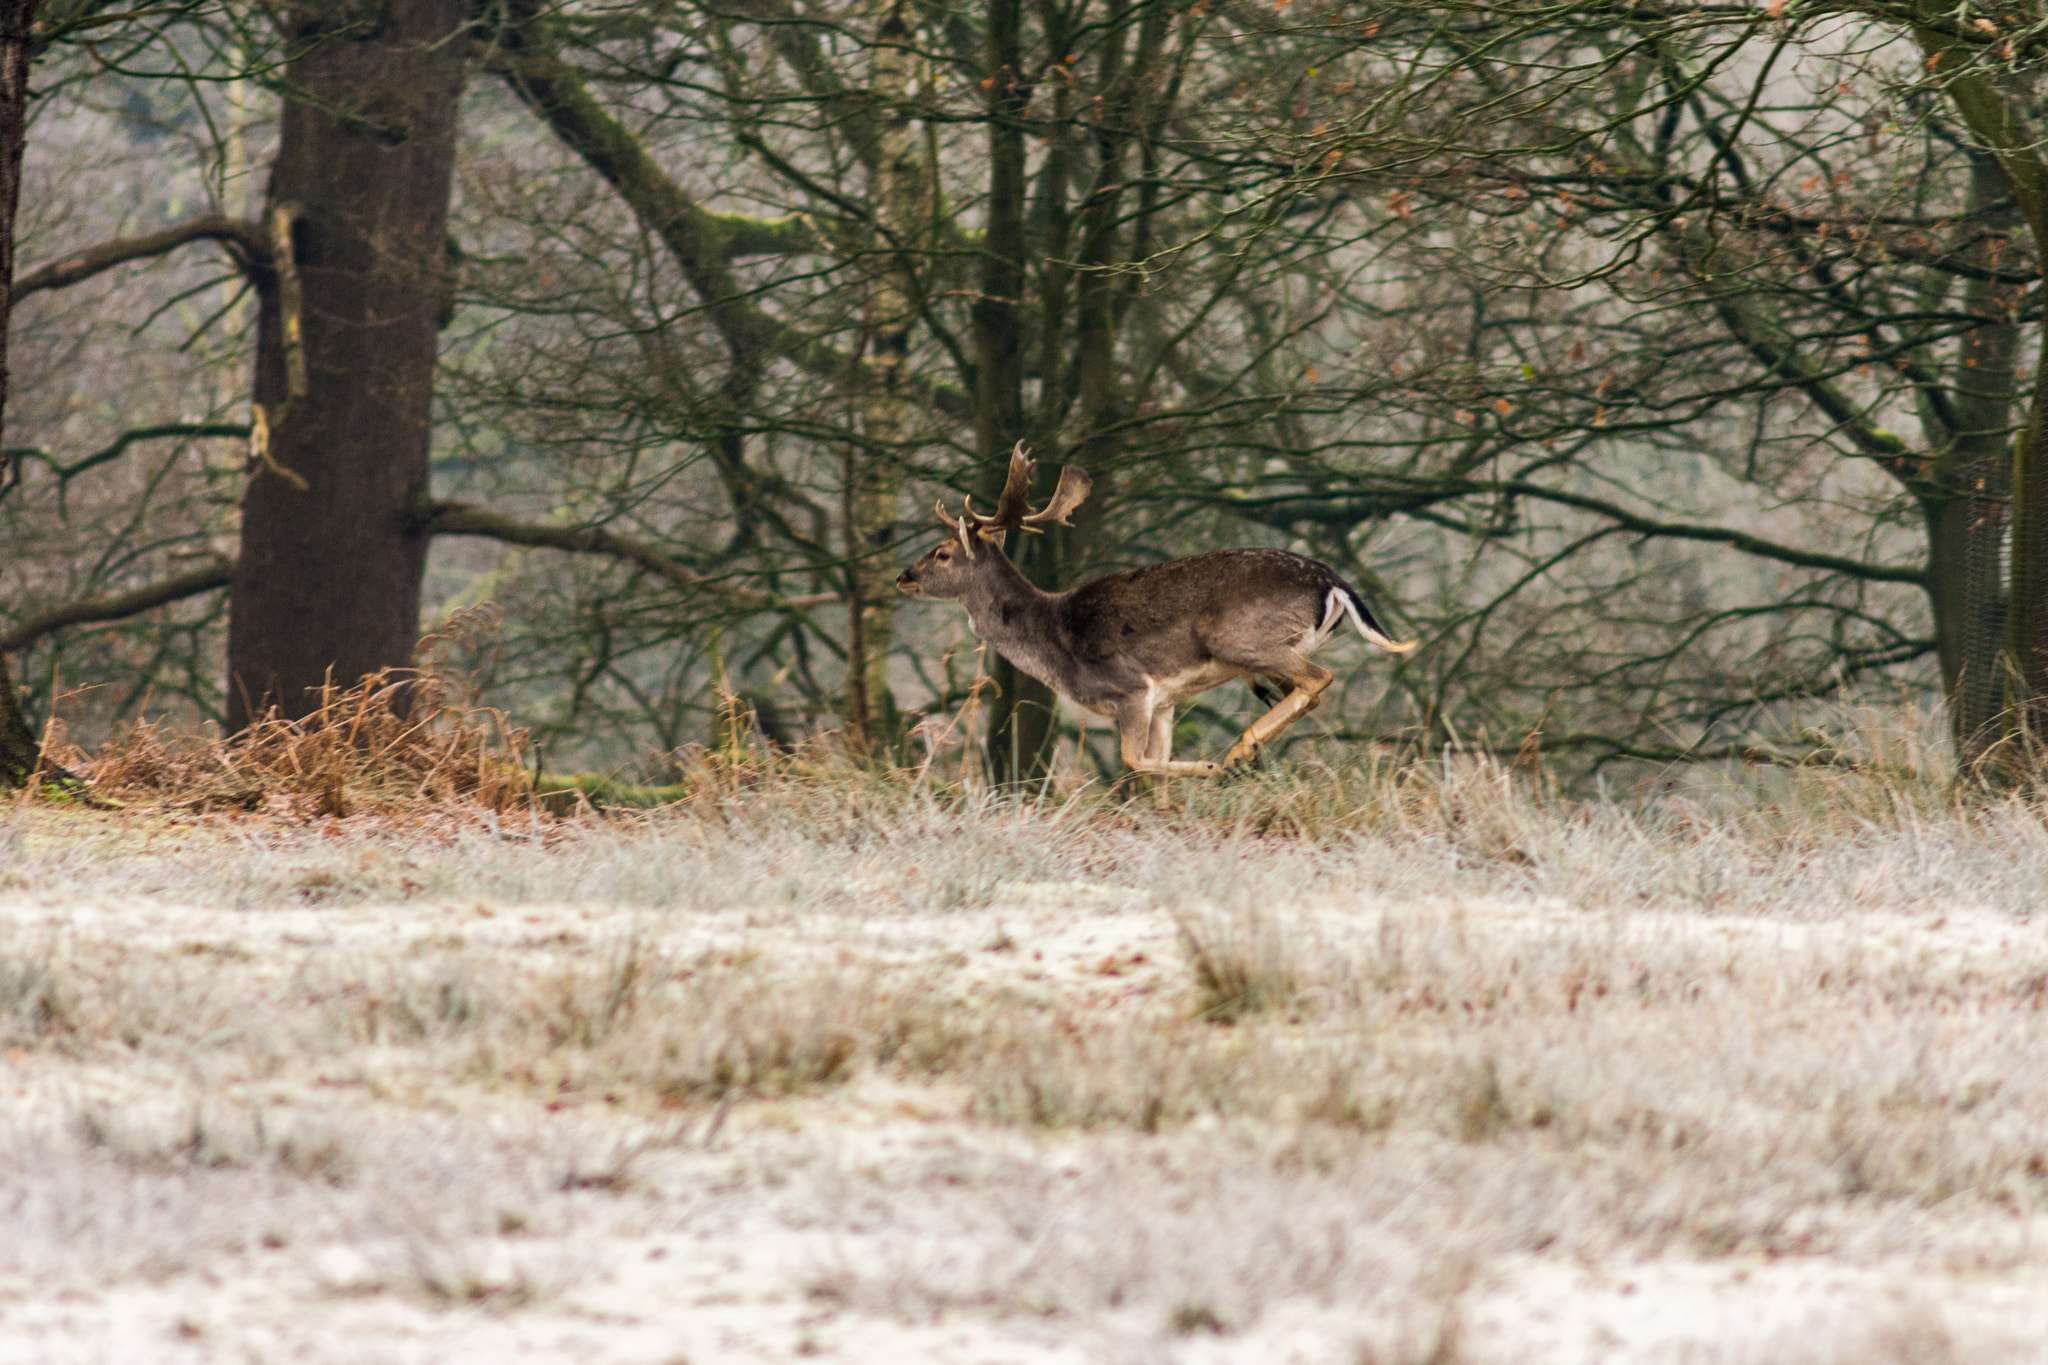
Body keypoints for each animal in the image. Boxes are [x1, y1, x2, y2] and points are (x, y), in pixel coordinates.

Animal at [905, 444, 1417, 773]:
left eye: (942, 553)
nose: (902, 576)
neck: (1053, 641)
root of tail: (1335, 583)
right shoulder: (1166, 701)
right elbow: (1154, 762)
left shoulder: (1131, 686)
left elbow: (1136, 760)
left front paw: (1207, 766)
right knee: (1304, 690)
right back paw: (1247, 751)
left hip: (1241, 638)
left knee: (1318, 679)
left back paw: (1237, 751)